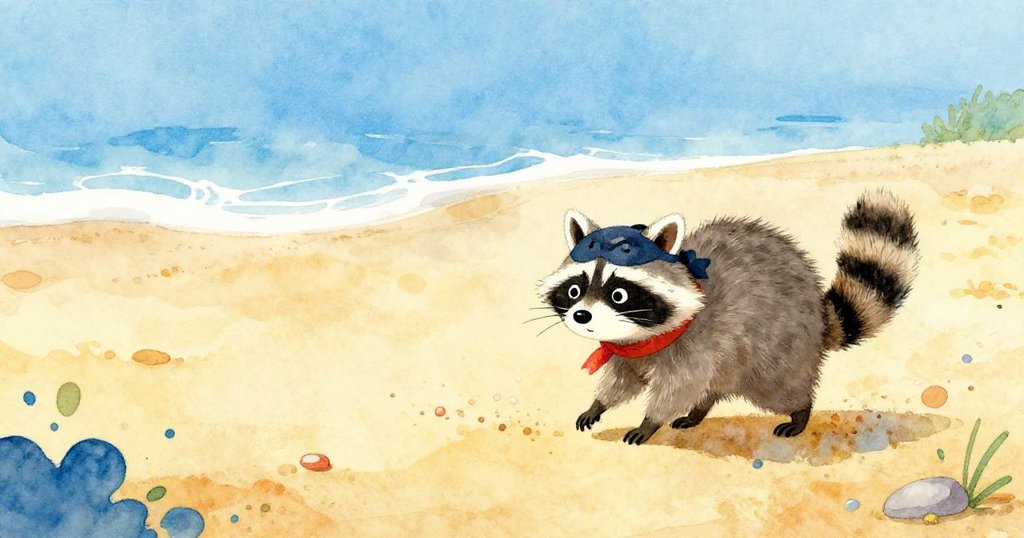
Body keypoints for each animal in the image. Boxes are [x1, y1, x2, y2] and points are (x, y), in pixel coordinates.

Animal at [537, 190, 919, 445]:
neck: (644, 337)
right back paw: (698, 412)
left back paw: (800, 411)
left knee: (779, 386)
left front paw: (650, 421)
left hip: (778, 346)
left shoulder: (694, 344)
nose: (582, 315)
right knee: (713, 385)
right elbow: (622, 380)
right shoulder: (627, 351)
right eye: (575, 290)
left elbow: (678, 386)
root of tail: (819, 315)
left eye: (619, 294)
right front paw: (599, 403)